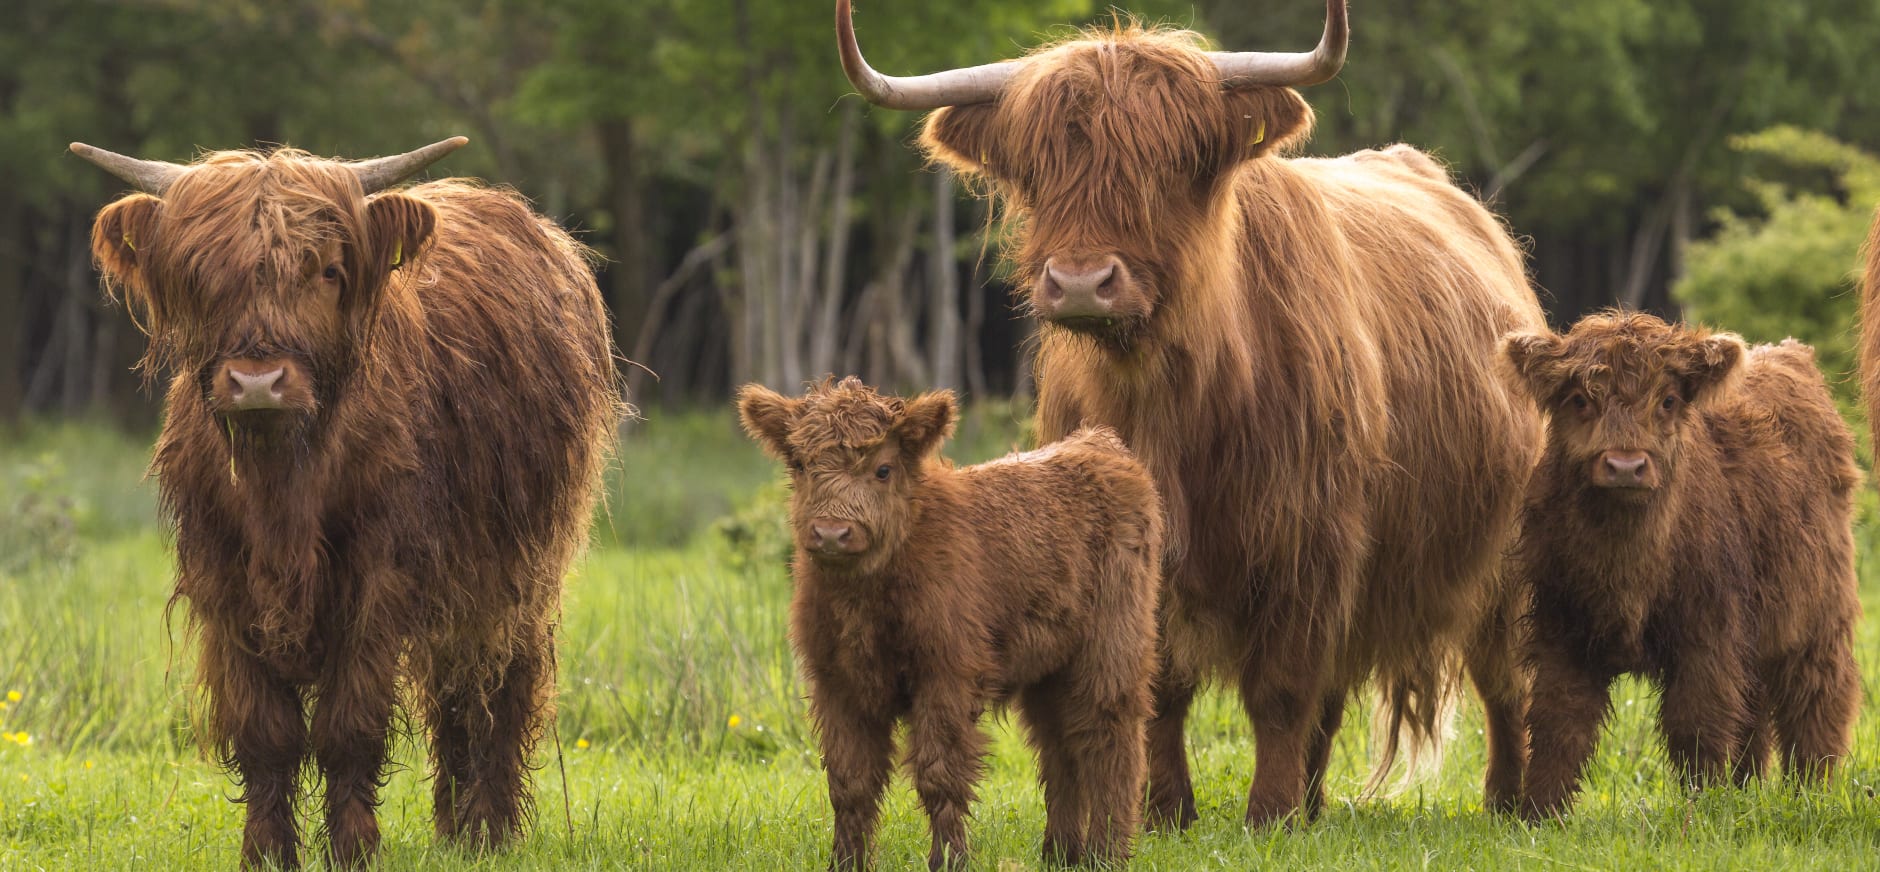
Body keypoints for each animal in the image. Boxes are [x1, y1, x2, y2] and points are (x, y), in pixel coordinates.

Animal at [69, 140, 616, 868]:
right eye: (202, 275)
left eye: (327, 271)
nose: (258, 382)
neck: (284, 489)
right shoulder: (224, 581)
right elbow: (265, 731)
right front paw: (267, 851)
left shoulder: (377, 580)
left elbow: (348, 726)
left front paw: (355, 848)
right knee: (452, 692)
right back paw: (453, 829)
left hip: (520, 568)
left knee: (499, 683)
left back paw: (489, 832)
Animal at [740, 377, 1165, 868]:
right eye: (802, 464)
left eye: (883, 470)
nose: (831, 532)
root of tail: (1099, 445)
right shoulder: (837, 684)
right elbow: (849, 784)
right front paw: (846, 863)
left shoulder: (946, 675)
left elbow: (938, 776)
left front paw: (949, 860)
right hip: (1049, 669)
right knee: (1060, 748)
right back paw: (1060, 853)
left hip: (1112, 647)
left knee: (1109, 738)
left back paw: (1105, 853)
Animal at [838, 0, 1541, 823]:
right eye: (1039, 169)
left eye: (1169, 165)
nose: (1082, 282)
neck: (1169, 410)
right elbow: (1163, 687)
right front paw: (1169, 810)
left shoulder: (1311, 536)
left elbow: (1281, 689)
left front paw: (1267, 815)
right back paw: (1314, 804)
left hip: (1502, 555)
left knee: (1503, 678)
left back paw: (1512, 801)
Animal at [1496, 311, 1864, 819]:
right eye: (1580, 400)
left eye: (1668, 400)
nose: (1625, 466)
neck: (1628, 567)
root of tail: (1789, 352)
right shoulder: (1561, 631)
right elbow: (1558, 724)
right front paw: (1540, 815)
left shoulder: (1708, 633)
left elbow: (1697, 722)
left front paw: (1702, 807)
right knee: (1752, 710)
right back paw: (1747, 790)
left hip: (1817, 614)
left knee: (1817, 699)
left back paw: (1808, 793)